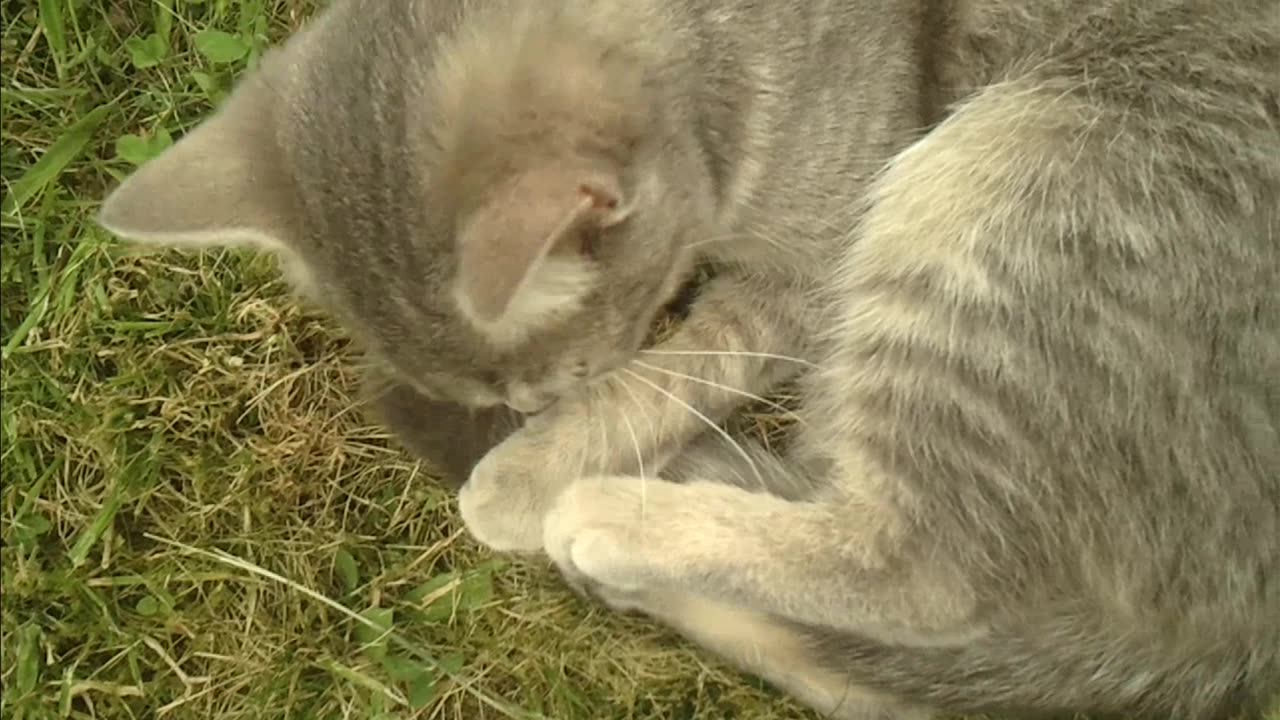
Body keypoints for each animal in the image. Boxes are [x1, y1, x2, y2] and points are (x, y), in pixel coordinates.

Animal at [94, 1, 1274, 717]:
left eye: (555, 384)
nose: (519, 415)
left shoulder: (805, 271)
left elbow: (673, 368)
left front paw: (526, 473)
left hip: (1012, 181)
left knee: (926, 574)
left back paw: (610, 522)